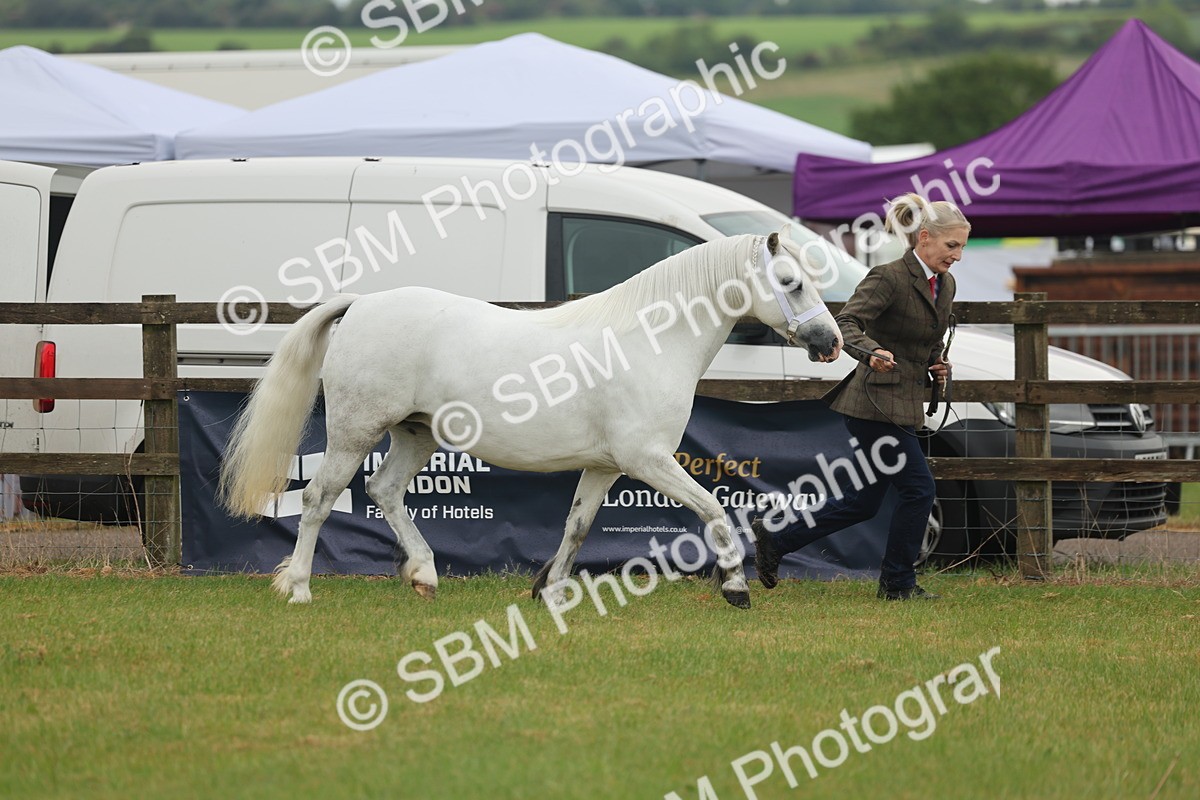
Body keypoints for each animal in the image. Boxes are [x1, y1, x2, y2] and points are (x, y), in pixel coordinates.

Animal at [218, 227, 843, 609]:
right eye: (791, 283)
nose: (830, 343)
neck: (650, 340)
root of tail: (363, 304)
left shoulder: (606, 466)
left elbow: (577, 525)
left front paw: (550, 589)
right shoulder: (648, 459)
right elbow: (713, 508)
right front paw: (736, 586)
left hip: (415, 435)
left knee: (385, 490)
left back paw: (423, 574)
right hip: (354, 432)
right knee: (319, 499)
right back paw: (299, 587)